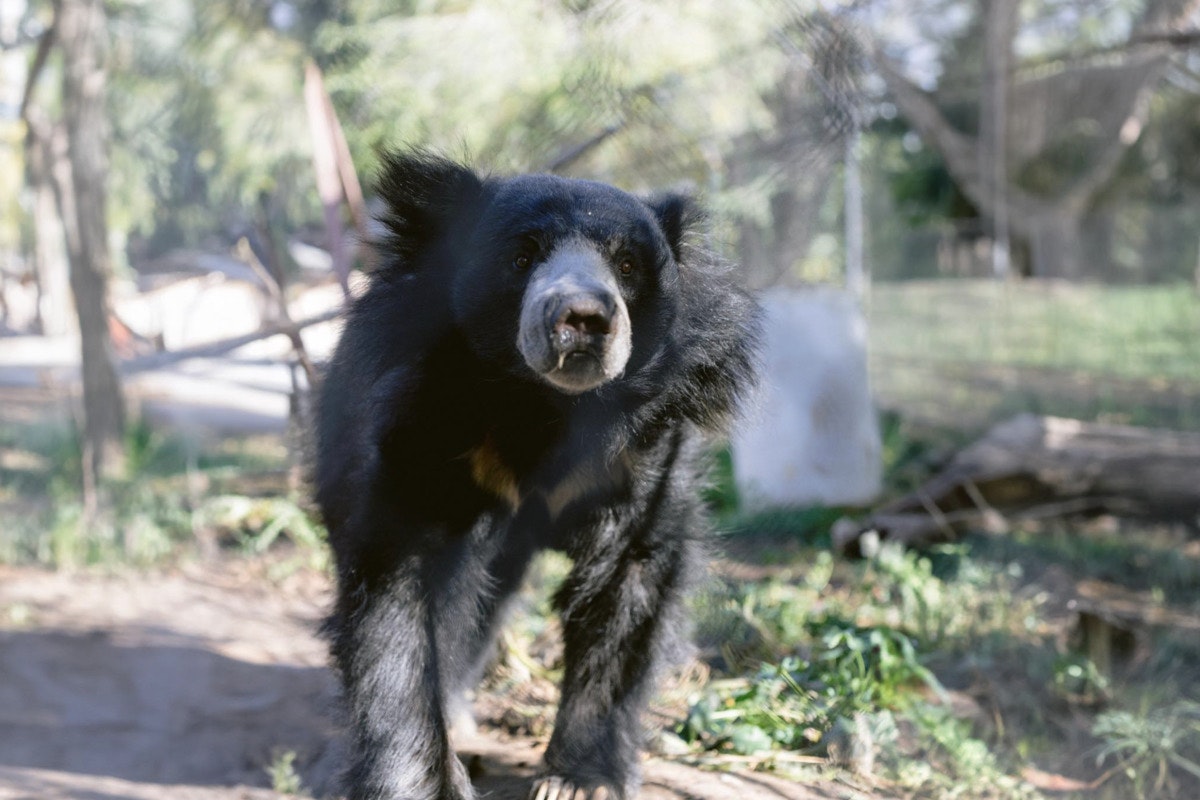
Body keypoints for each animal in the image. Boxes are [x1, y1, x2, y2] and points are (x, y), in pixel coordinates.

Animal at [314, 150, 760, 800]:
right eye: (522, 257)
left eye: (627, 264)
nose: (584, 319)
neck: (542, 407)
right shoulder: (420, 425)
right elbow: (397, 603)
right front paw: (426, 782)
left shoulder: (645, 451)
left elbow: (627, 583)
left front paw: (580, 781)